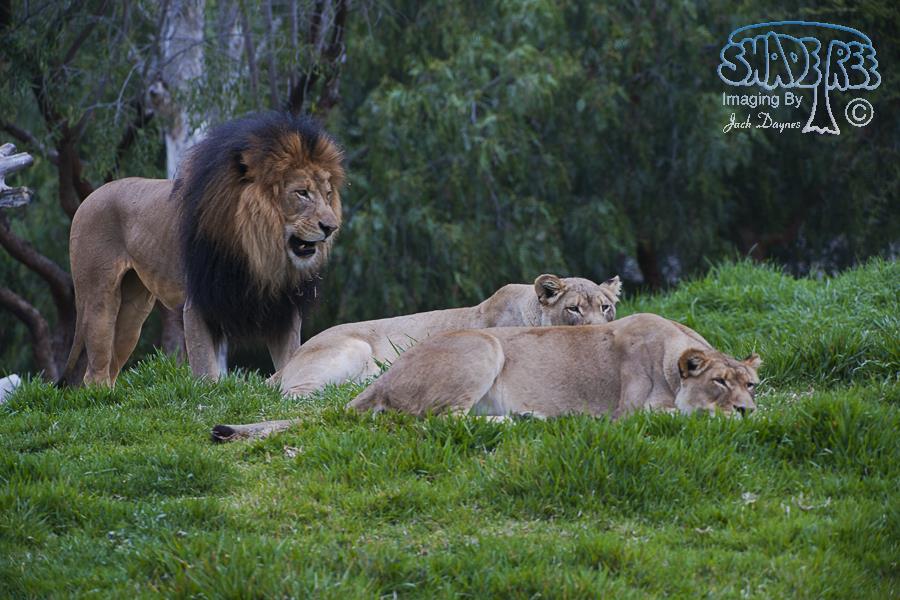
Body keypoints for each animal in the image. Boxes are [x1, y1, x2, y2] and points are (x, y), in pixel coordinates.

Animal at [65, 112, 344, 385]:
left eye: (328, 194)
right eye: (302, 193)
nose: (331, 227)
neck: (260, 253)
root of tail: (90, 197)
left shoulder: (283, 309)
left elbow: (291, 358)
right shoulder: (200, 303)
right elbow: (205, 369)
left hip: (133, 311)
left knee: (112, 365)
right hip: (99, 298)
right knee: (94, 371)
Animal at [347, 313, 761, 418]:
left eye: (750, 384)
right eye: (720, 382)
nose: (747, 410)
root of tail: (382, 379)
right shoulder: (626, 414)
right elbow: (684, 413)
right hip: (484, 345)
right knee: (442, 419)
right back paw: (517, 420)